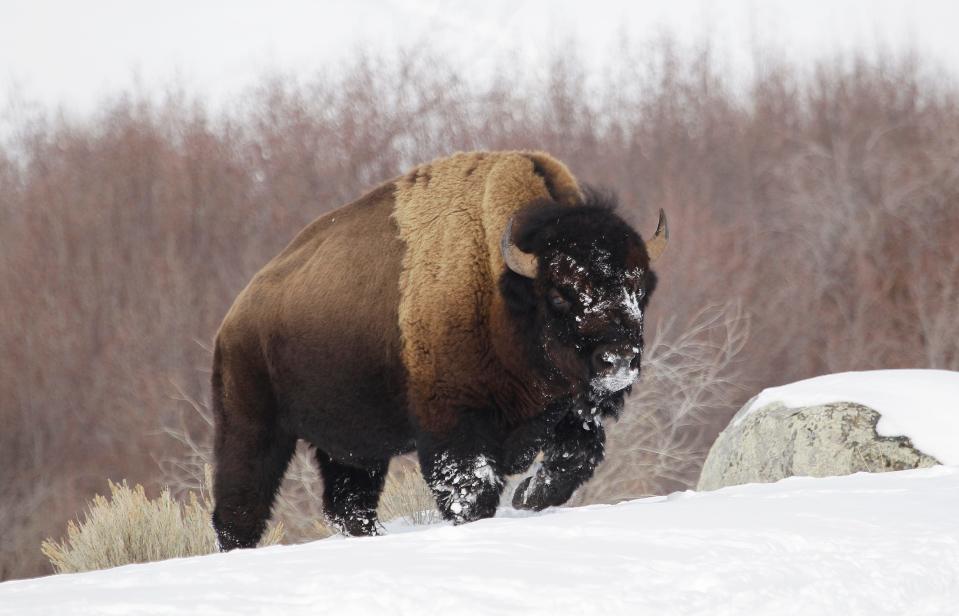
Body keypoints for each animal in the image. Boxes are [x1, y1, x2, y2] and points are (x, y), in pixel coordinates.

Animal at [210, 150, 668, 548]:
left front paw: (526, 497)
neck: (503, 293)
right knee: (240, 507)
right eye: (560, 293)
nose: (618, 359)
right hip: (252, 428)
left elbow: (575, 457)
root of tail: (234, 318)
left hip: (352, 450)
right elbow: (471, 490)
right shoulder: (455, 426)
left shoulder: (570, 411)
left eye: (638, 287)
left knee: (348, 505)